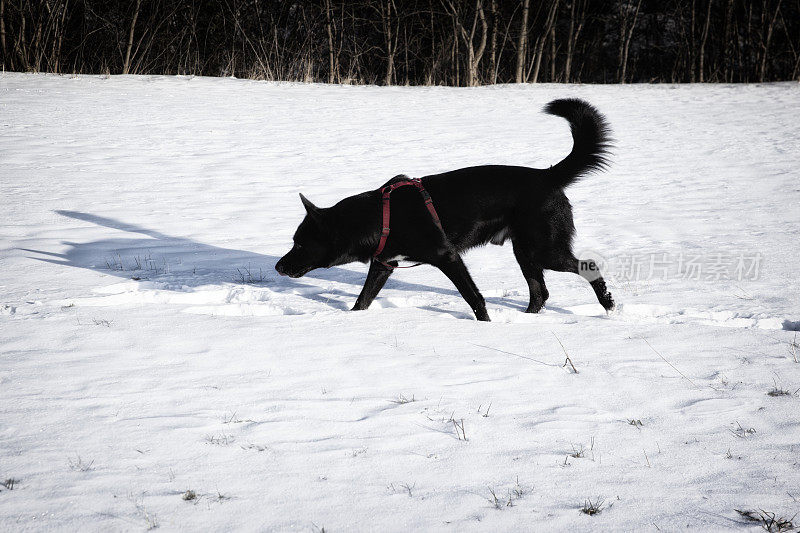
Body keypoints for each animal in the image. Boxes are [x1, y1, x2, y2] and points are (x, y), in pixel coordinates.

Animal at [276, 98, 612, 322]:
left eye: (300, 244)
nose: (279, 267)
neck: (382, 217)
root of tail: (548, 175)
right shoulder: (385, 264)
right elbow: (363, 299)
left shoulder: (448, 257)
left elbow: (473, 298)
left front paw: (485, 326)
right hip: (525, 252)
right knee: (540, 292)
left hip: (543, 249)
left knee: (588, 267)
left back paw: (609, 307)